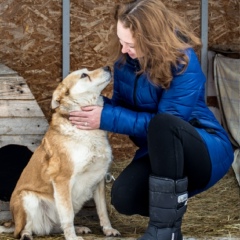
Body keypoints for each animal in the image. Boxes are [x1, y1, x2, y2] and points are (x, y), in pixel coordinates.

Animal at [0, 66, 120, 240]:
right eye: (84, 75)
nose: (107, 67)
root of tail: (13, 222)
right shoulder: (62, 180)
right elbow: (67, 215)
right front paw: (72, 237)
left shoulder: (99, 178)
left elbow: (103, 210)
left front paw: (108, 229)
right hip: (28, 198)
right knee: (25, 228)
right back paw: (27, 235)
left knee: (54, 226)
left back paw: (79, 227)